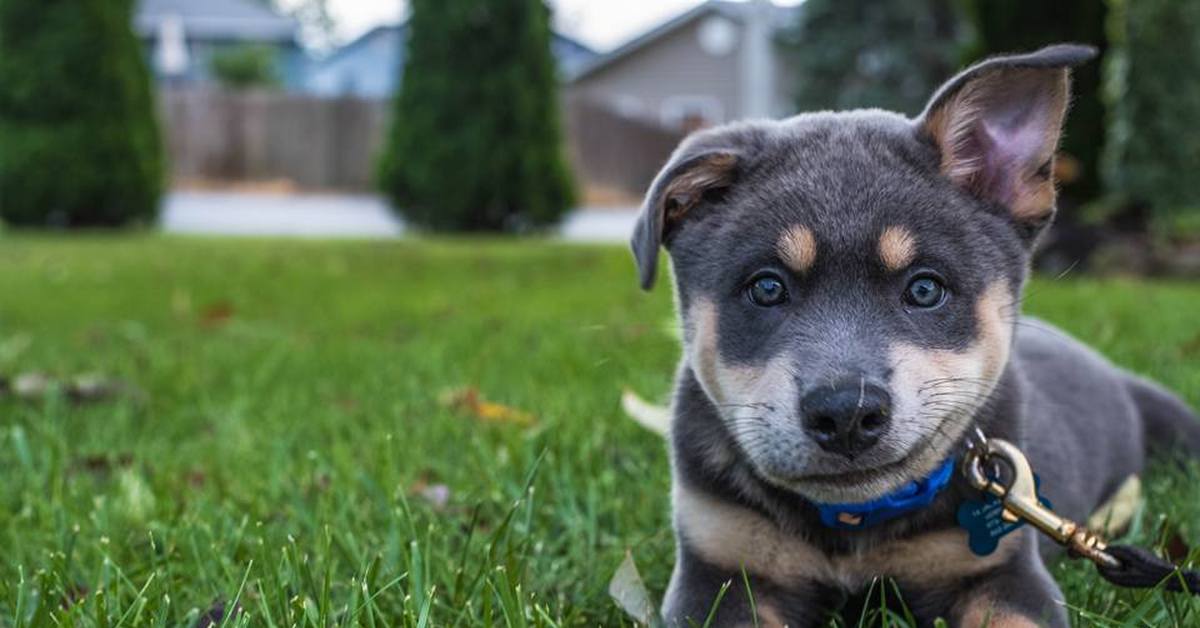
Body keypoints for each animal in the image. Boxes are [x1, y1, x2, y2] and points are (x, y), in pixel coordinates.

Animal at [628, 41, 1200, 624]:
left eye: (925, 289)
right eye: (766, 288)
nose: (846, 414)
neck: (855, 522)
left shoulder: (1004, 572)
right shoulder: (721, 569)